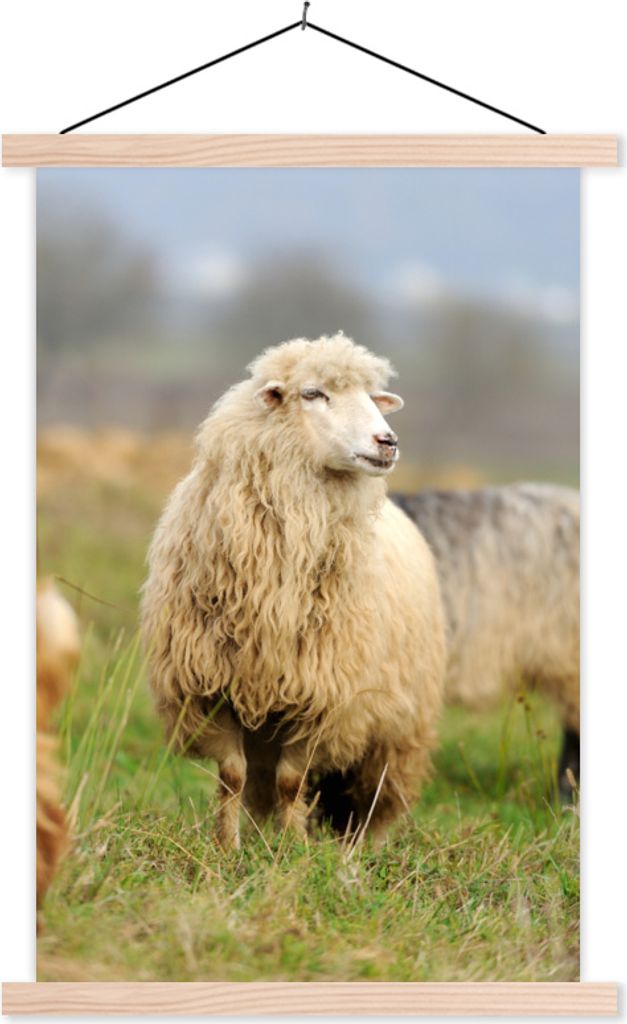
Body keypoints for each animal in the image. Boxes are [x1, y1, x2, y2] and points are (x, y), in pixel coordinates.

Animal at [141, 334, 446, 848]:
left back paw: (363, 848)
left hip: (398, 725)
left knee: (379, 796)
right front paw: (229, 849)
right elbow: (233, 776)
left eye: (372, 396)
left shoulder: (324, 697)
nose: (388, 442)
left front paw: (294, 851)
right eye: (313, 394)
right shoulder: (210, 688)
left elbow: (292, 781)